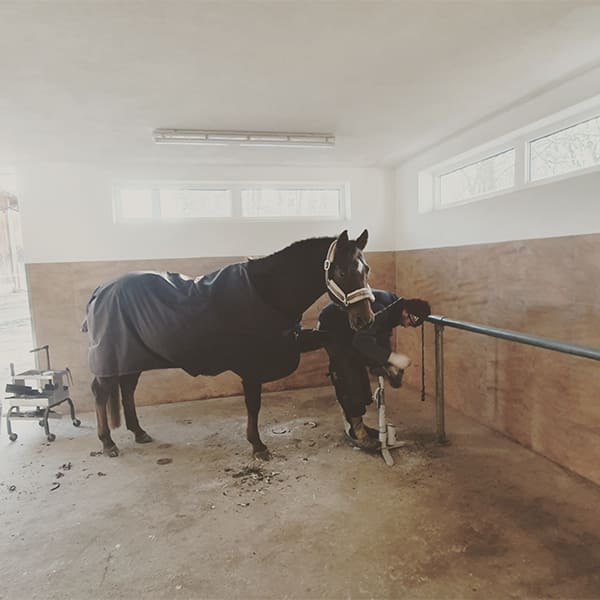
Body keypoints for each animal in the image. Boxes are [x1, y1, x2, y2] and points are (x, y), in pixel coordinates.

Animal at [83, 230, 376, 460]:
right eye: (341, 271)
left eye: (366, 269)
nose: (364, 319)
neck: (268, 293)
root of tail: (100, 291)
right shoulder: (252, 367)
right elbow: (253, 405)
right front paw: (258, 445)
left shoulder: (292, 342)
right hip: (111, 358)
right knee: (101, 392)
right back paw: (107, 442)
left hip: (131, 358)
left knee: (127, 389)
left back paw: (138, 431)